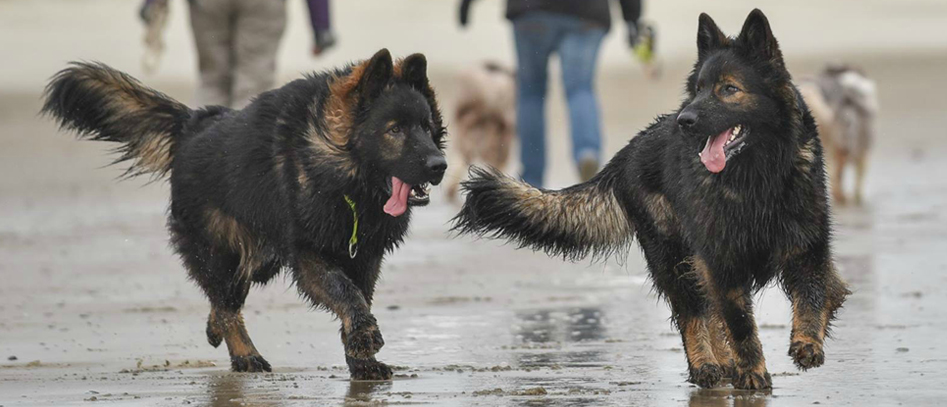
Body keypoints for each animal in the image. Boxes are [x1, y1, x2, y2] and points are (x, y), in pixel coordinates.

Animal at [40, 49, 448, 380]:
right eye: (394, 130)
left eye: (427, 128)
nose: (439, 166)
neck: (343, 175)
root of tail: (192, 124)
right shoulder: (309, 254)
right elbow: (345, 293)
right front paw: (365, 338)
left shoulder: (365, 256)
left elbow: (358, 296)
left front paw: (361, 360)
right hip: (224, 252)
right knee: (226, 304)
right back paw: (246, 356)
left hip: (257, 256)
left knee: (222, 301)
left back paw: (218, 333)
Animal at [454, 10, 852, 392]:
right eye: (698, 89)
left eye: (728, 89)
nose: (684, 120)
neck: (758, 176)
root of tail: (627, 153)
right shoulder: (720, 263)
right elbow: (739, 325)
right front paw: (752, 371)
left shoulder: (806, 247)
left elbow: (816, 294)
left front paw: (807, 342)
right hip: (673, 257)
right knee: (693, 315)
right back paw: (706, 365)